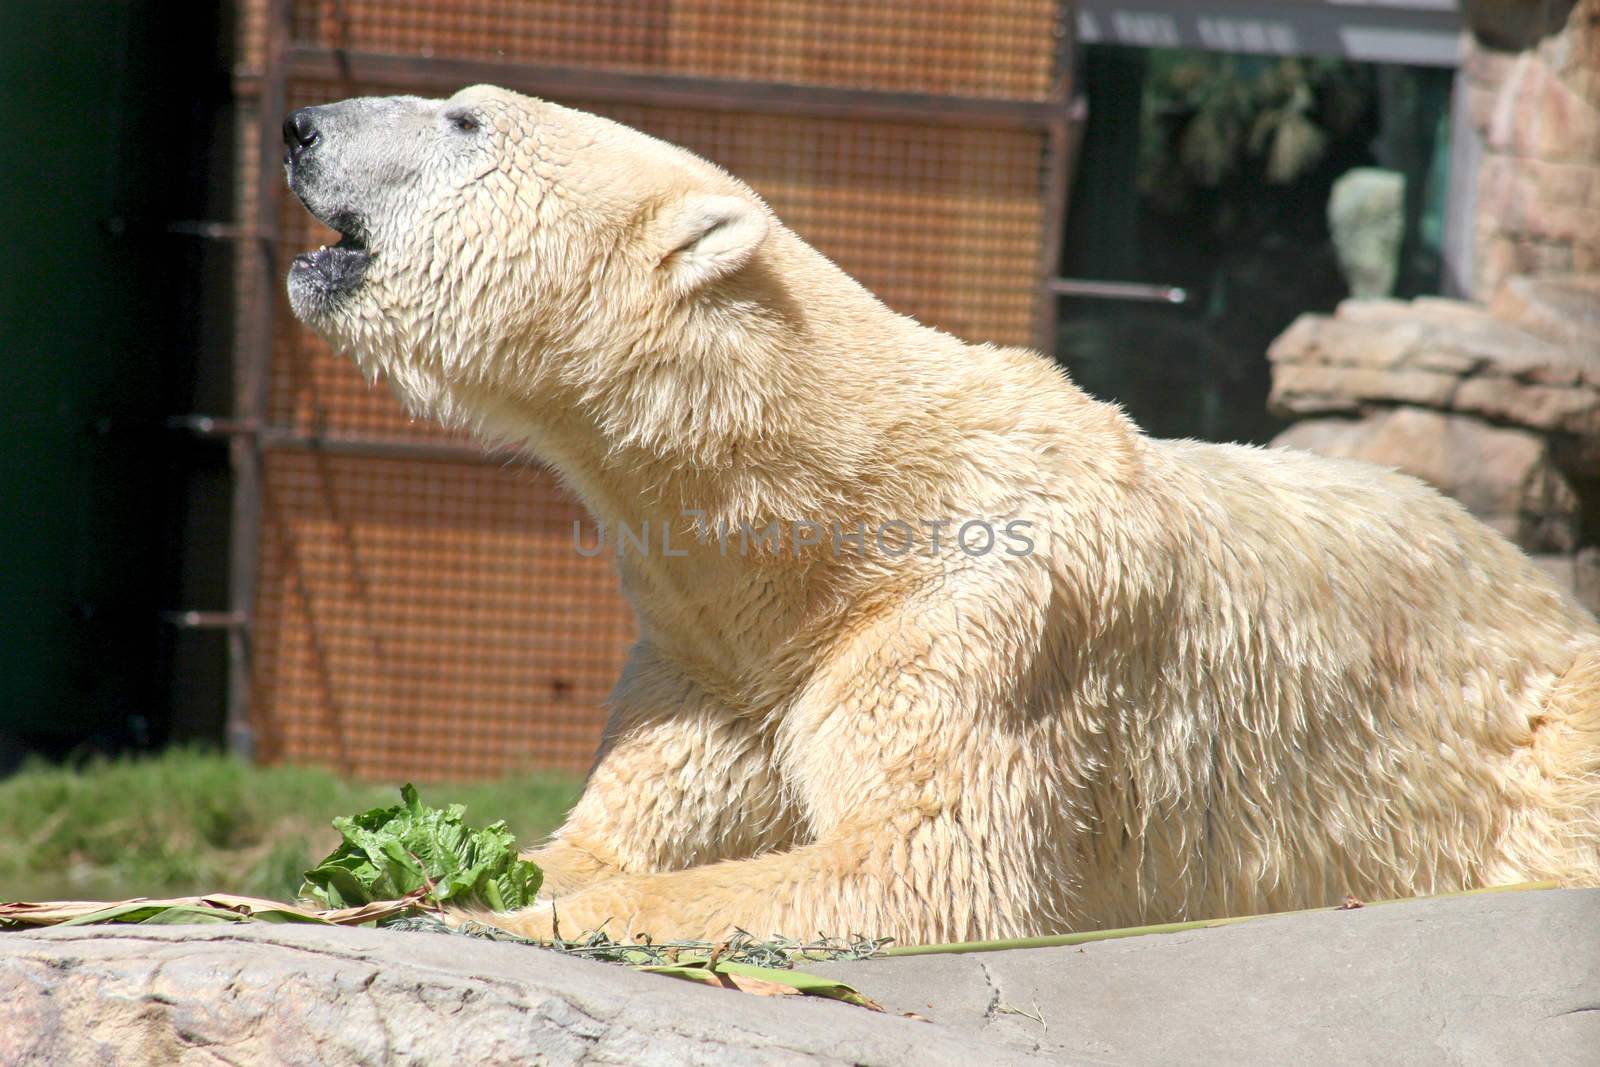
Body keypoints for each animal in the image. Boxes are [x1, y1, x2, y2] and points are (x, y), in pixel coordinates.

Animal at [284, 87, 1600, 947]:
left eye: (465, 120)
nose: (299, 127)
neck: (829, 525)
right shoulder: (714, 667)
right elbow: (626, 825)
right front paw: (376, 878)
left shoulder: (976, 627)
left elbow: (922, 862)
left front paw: (511, 912)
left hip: (1534, 720)